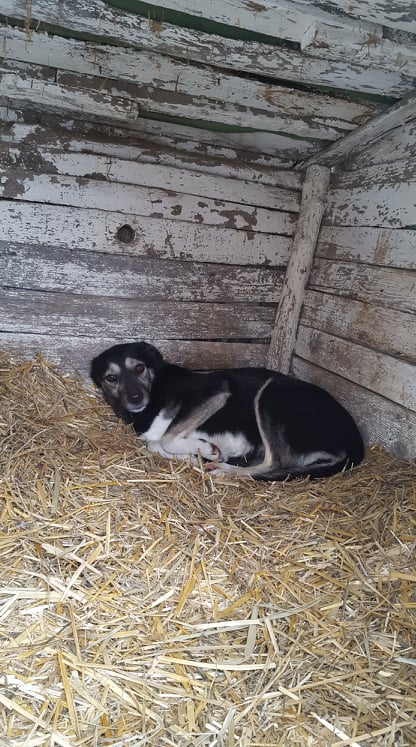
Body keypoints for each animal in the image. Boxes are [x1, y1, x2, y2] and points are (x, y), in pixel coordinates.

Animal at [89, 342, 362, 482]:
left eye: (139, 368)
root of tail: (356, 442)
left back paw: (226, 469)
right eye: (111, 377)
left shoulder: (213, 391)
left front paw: (206, 450)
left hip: (271, 394)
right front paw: (196, 456)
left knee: (276, 461)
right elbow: (155, 445)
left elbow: (166, 438)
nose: (135, 398)